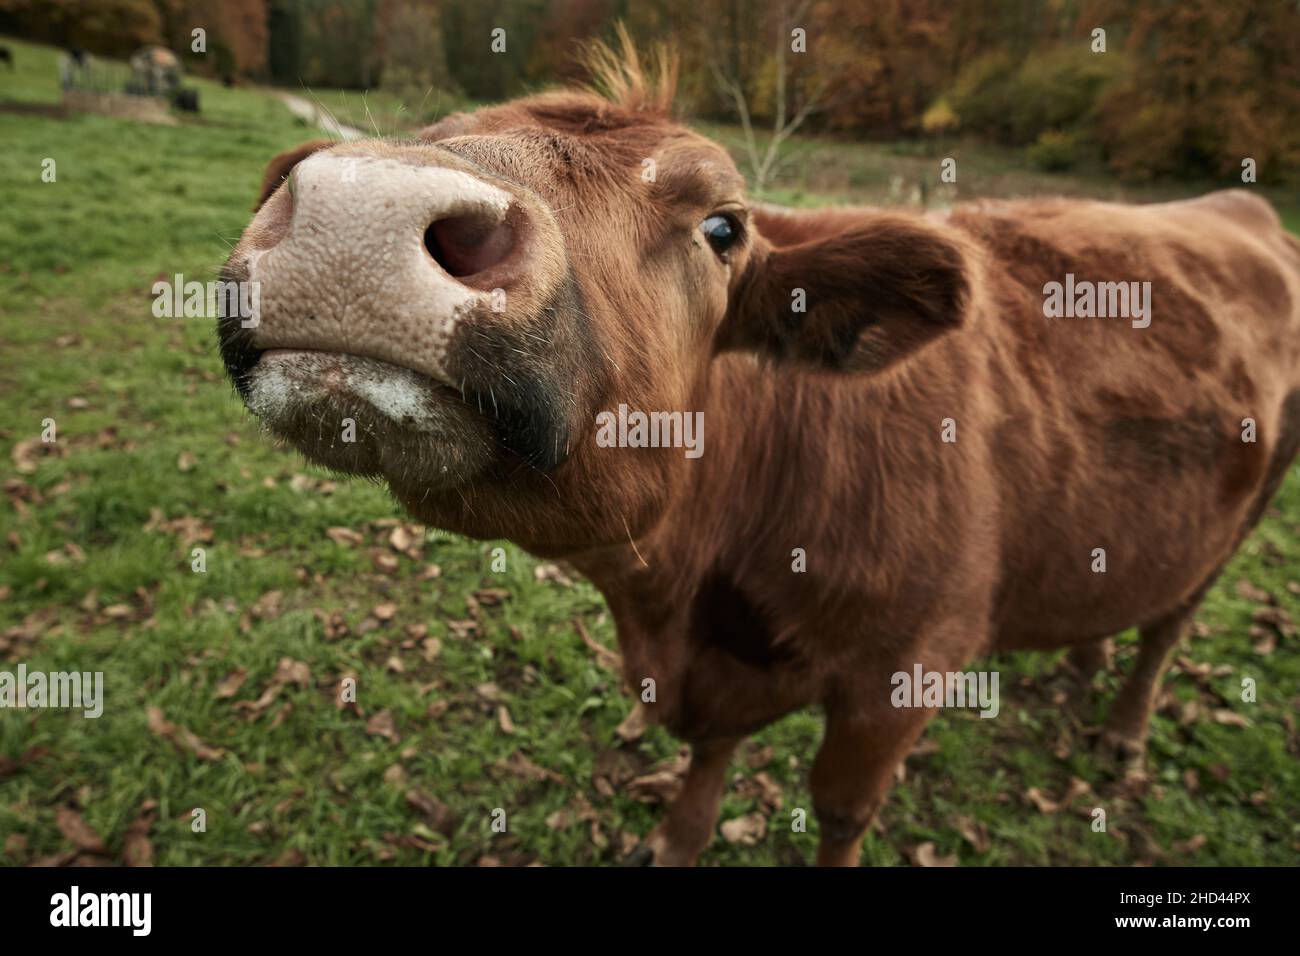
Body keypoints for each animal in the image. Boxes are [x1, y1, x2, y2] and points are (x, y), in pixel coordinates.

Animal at [218, 35, 1300, 868]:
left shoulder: (906, 670)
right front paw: (676, 833)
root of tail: (1239, 207)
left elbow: (841, 811)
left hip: (1243, 514)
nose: (361, 212)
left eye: (722, 226)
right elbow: (708, 759)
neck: (690, 596)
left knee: (1172, 622)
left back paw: (1120, 728)